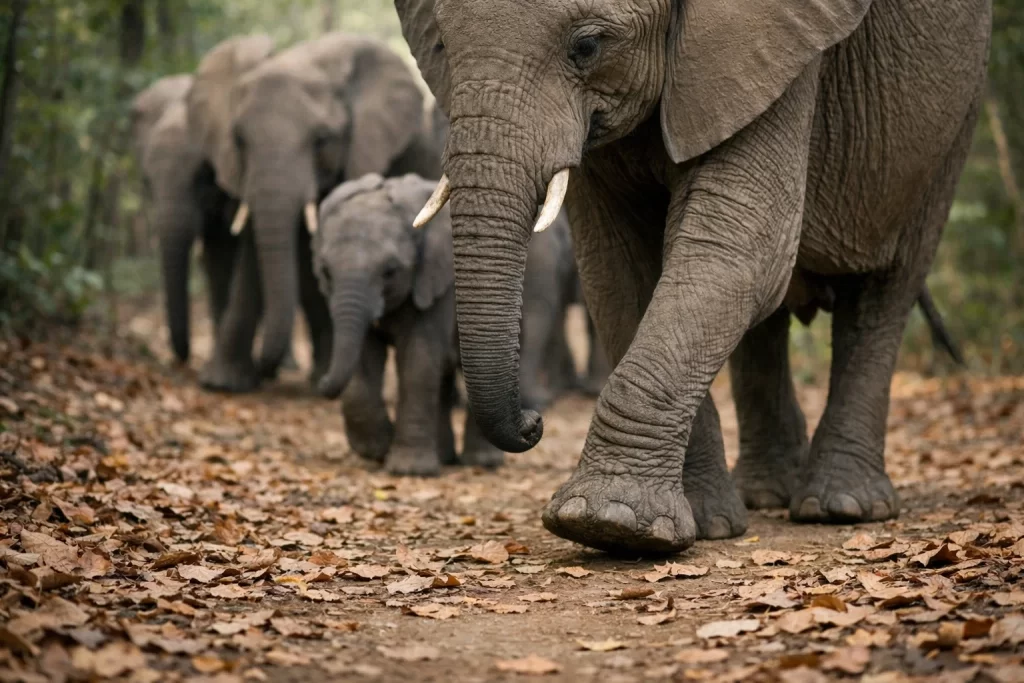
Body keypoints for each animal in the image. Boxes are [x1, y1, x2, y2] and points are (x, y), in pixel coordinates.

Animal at [313, 173, 502, 476]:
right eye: (326, 272)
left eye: (390, 271)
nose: (319, 381)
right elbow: (363, 358)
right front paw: (377, 448)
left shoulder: (434, 280)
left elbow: (418, 357)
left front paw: (409, 470)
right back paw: (444, 457)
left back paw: (482, 462)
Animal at [396, 0, 991, 554]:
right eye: (443, 45)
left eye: (587, 46)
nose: (532, 422)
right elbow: (619, 272)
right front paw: (688, 525)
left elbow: (736, 246)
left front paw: (607, 521)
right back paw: (765, 495)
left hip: (953, 122)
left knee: (884, 290)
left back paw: (842, 508)